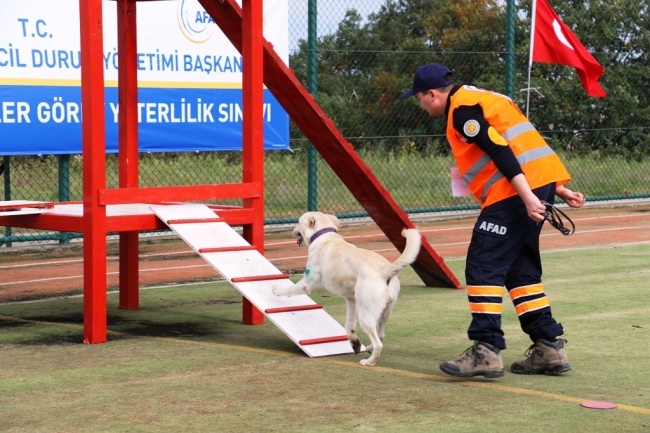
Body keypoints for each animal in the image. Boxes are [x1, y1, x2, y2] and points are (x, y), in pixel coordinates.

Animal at [270, 211, 418, 366]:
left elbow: (289, 289)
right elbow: (349, 326)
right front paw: (354, 342)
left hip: (365, 315)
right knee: (381, 335)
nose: (292, 230)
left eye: (298, 222)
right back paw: (368, 348)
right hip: (384, 313)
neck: (324, 236)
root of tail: (385, 271)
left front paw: (277, 289)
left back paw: (368, 361)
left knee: (378, 344)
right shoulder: (351, 299)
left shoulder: (307, 283)